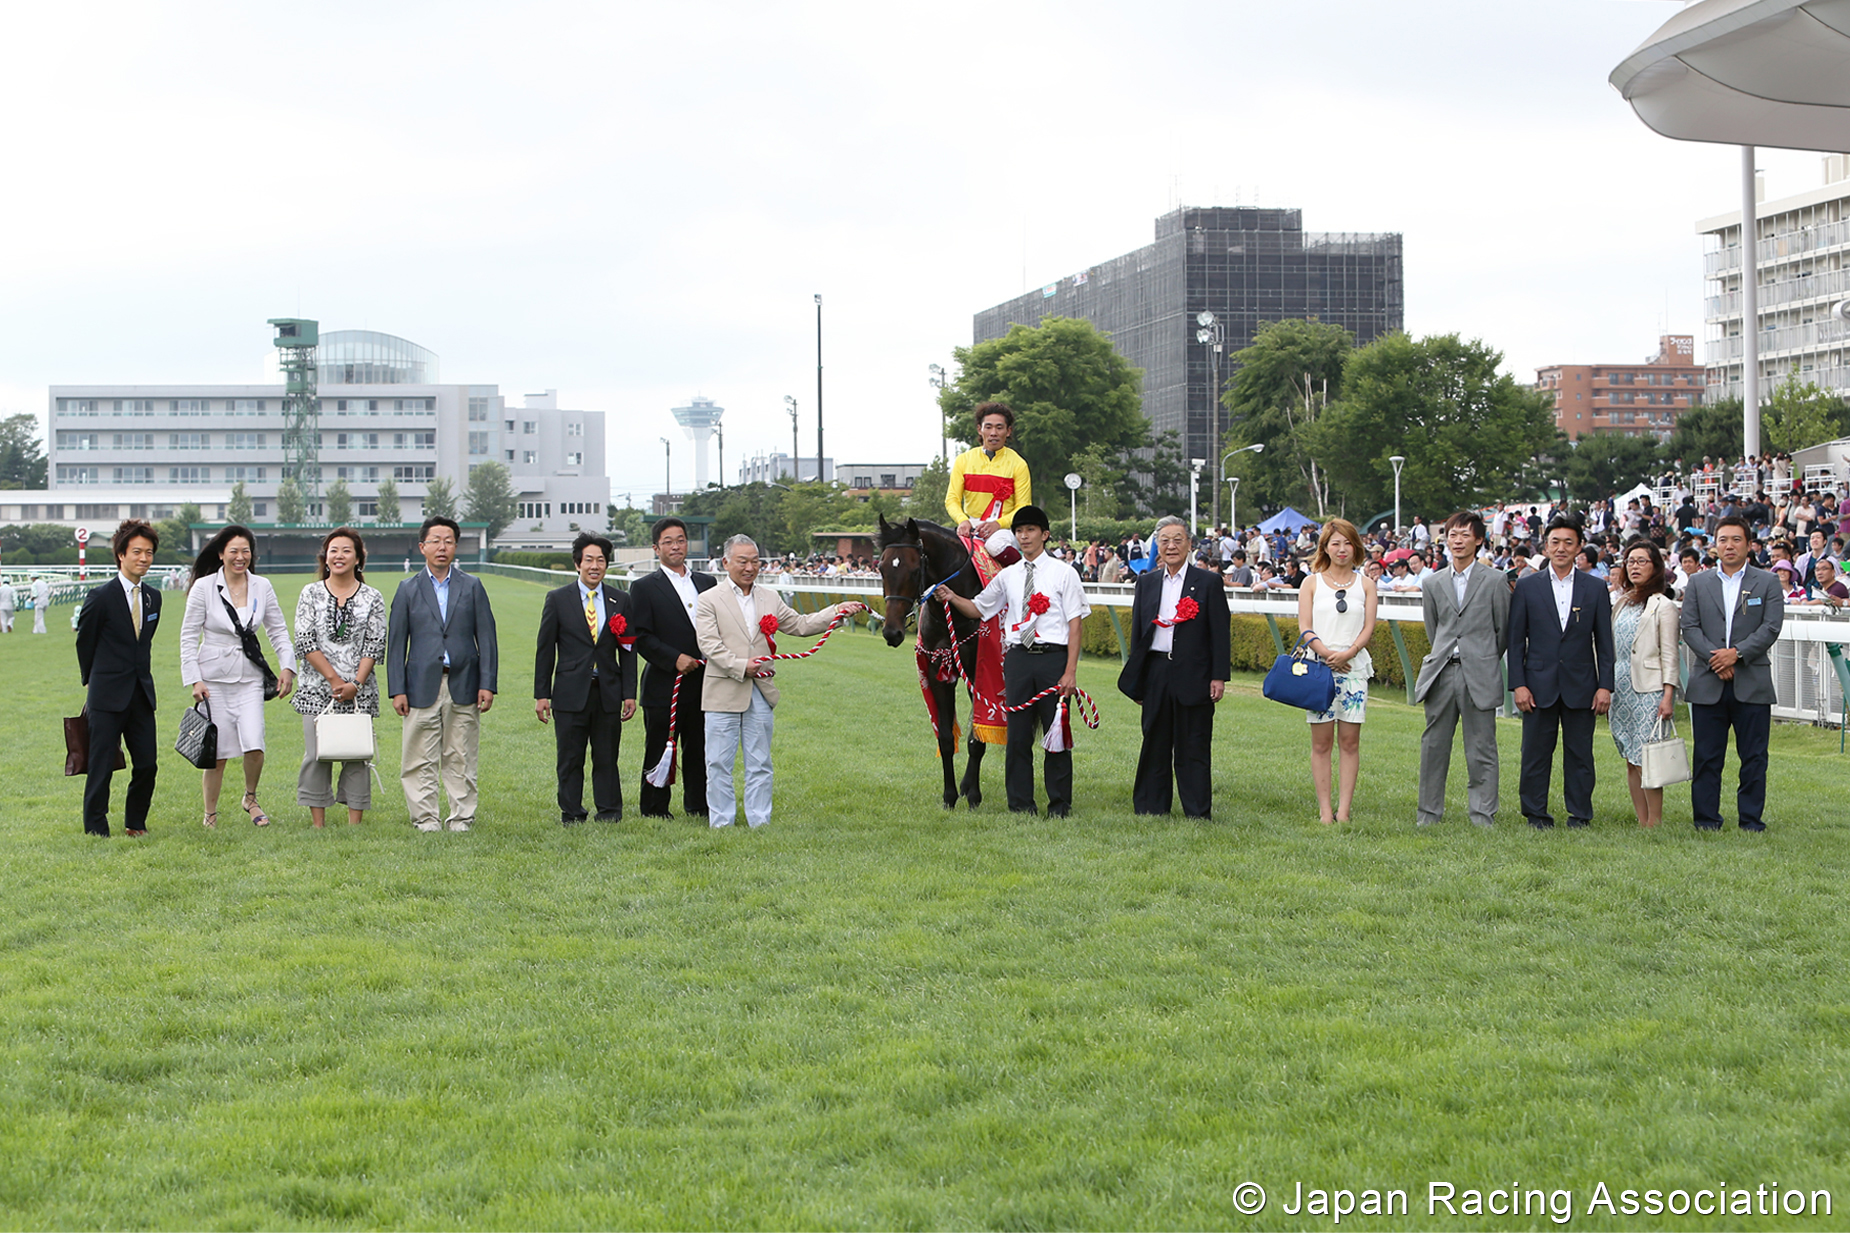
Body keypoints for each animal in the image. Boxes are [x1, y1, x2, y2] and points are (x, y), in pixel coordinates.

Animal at [873, 510, 991, 807]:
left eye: (915, 570)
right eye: (881, 568)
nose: (892, 631)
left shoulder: (979, 674)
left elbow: (976, 737)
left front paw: (974, 795)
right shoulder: (939, 671)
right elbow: (946, 738)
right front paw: (950, 795)